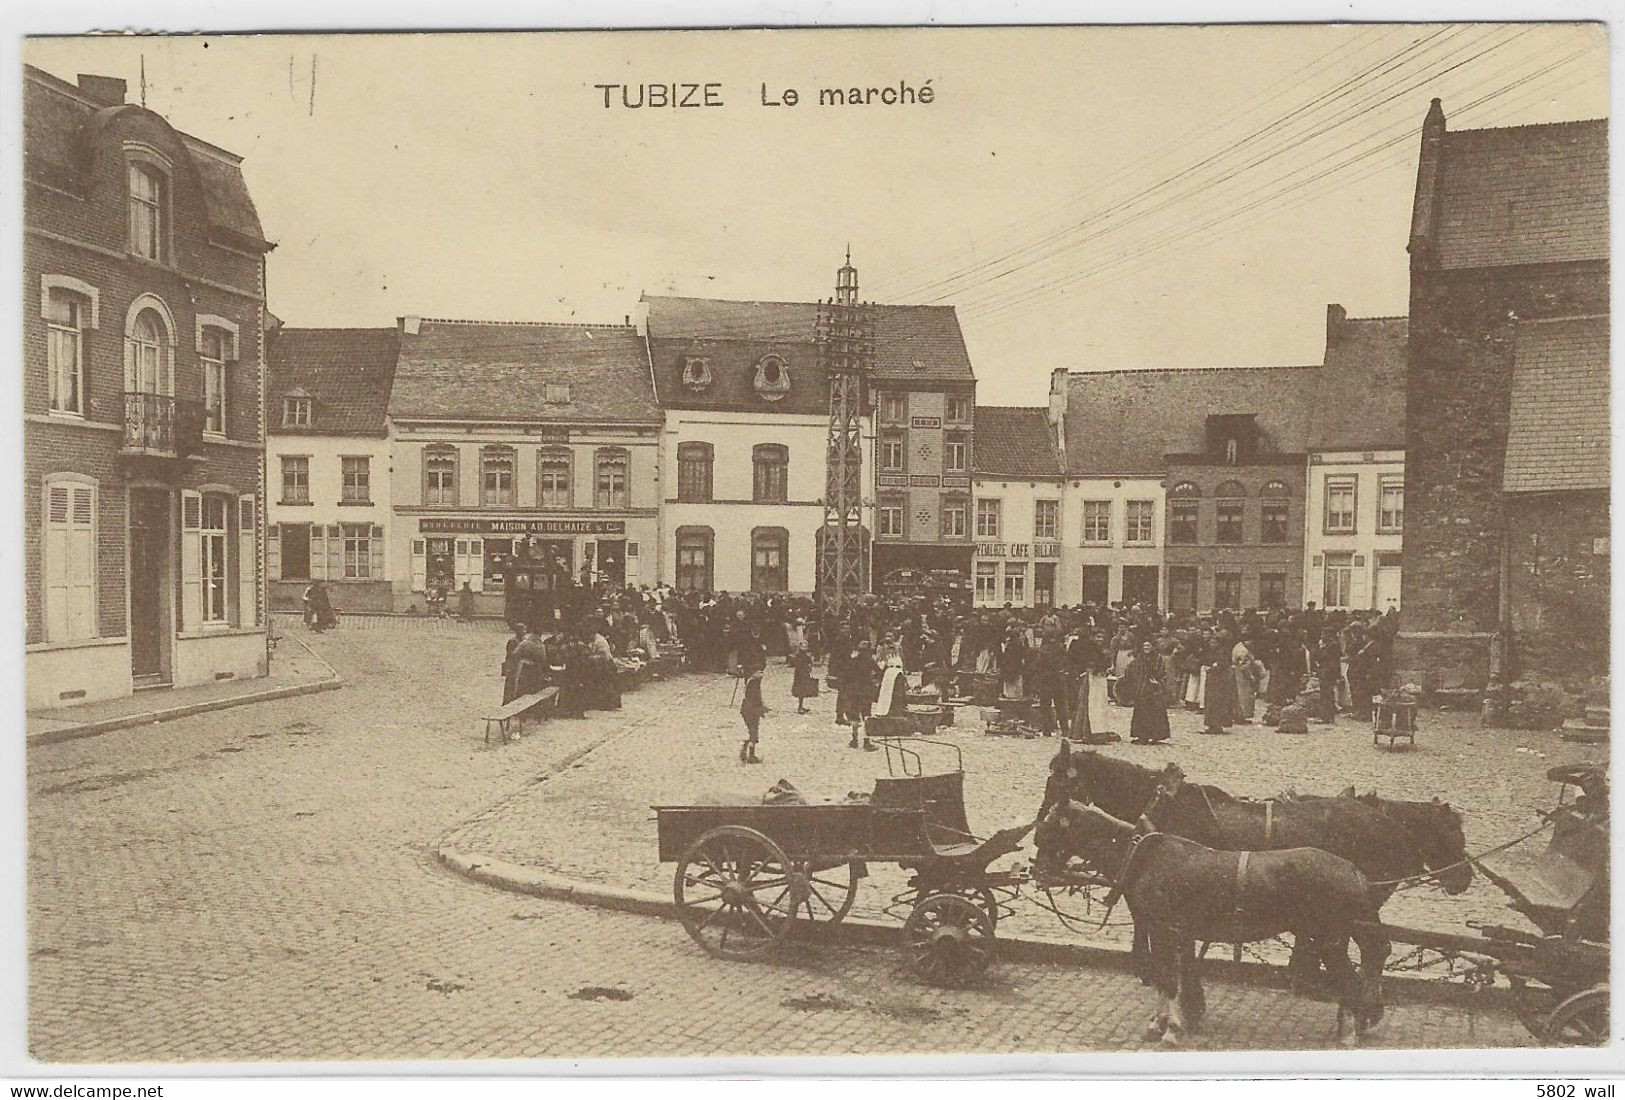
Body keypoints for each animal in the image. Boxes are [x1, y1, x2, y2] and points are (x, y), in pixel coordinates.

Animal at [1033, 799, 1391, 1046]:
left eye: (1048, 830)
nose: (1037, 872)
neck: (1141, 857)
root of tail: (1354, 872)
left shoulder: (1165, 930)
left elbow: (1168, 978)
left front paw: (1171, 1030)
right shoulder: (1167, 931)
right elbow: (1165, 976)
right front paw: (1159, 1023)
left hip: (1329, 939)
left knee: (1352, 980)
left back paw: (1350, 1033)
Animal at [1040, 740, 1475, 981]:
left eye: (1057, 779)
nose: (1464, 879)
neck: (1164, 803)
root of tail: (1385, 822)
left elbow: (1146, 921)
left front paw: (1149, 968)